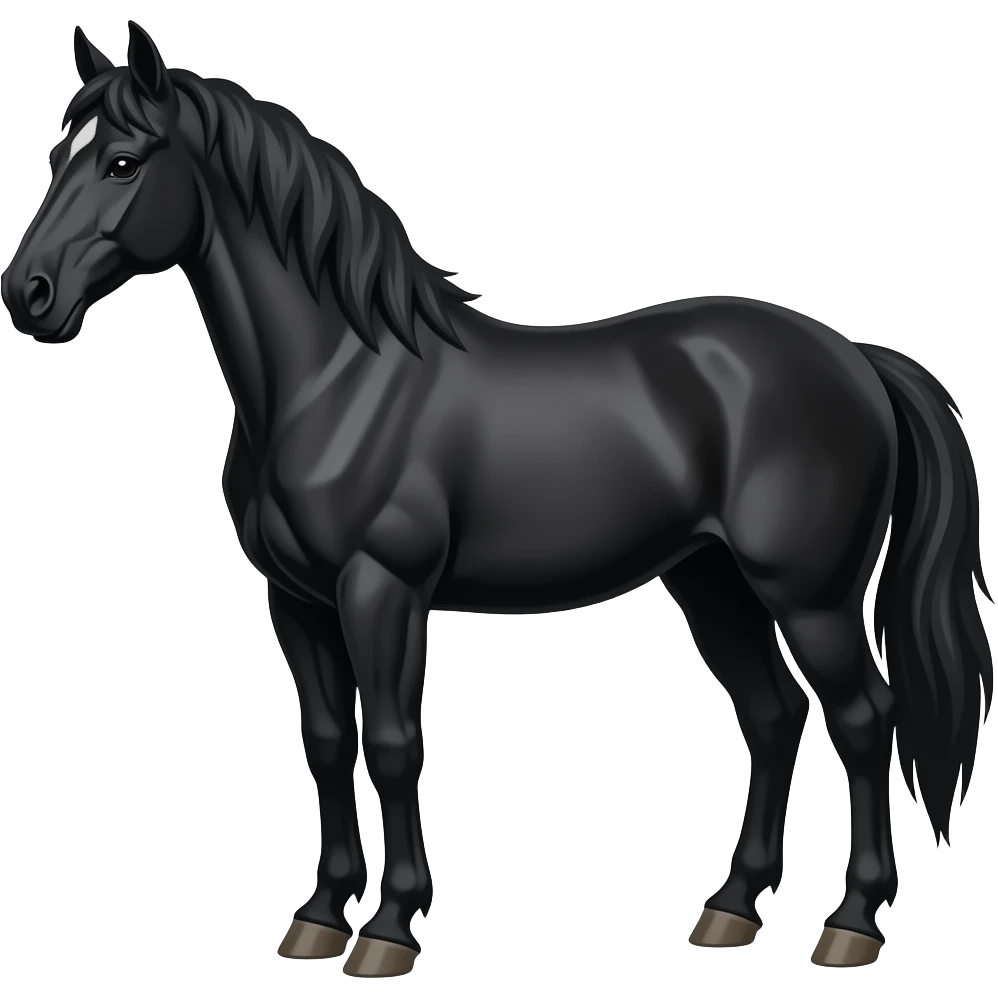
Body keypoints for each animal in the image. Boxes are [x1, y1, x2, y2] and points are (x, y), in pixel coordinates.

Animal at [2, 22, 992, 977]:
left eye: (123, 160)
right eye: (56, 156)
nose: (28, 294)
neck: (337, 378)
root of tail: (856, 358)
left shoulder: (383, 589)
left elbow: (393, 743)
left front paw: (389, 930)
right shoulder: (297, 600)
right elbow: (326, 742)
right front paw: (319, 916)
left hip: (809, 594)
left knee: (865, 721)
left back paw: (851, 923)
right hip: (711, 581)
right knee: (774, 716)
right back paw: (731, 910)